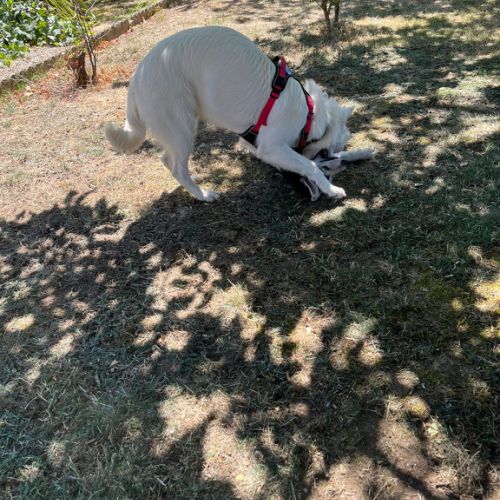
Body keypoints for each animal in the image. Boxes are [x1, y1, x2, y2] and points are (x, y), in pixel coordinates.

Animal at [105, 26, 370, 202]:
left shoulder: (256, 146)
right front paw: (332, 189)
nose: (337, 166)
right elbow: (309, 165)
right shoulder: (271, 147)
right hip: (182, 126)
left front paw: (363, 152)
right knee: (176, 166)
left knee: (168, 161)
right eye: (326, 151)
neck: (310, 115)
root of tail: (136, 78)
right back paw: (203, 195)